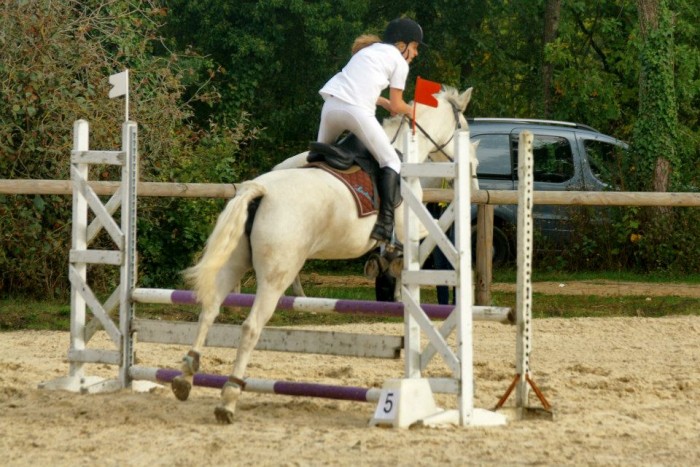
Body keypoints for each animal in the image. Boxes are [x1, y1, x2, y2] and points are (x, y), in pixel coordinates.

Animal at [171, 85, 474, 423]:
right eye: (464, 127)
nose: (472, 170)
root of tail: (259, 190)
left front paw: (387, 265)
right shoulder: (412, 226)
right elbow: (427, 236)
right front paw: (391, 264)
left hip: (234, 263)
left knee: (210, 310)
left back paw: (186, 376)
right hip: (276, 276)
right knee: (251, 327)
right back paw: (228, 398)